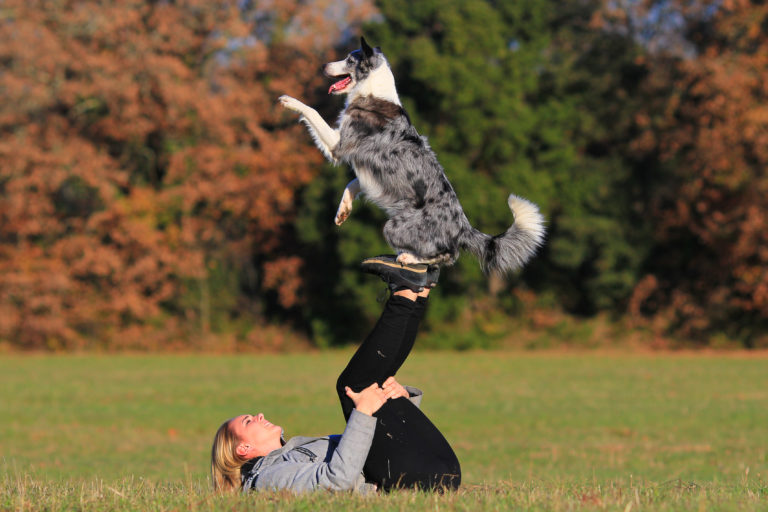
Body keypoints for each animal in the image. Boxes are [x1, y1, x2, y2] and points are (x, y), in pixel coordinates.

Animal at [280, 37, 544, 274]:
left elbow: (312, 111)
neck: (373, 92)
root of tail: (463, 227)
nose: (324, 66)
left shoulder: (339, 144)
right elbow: (353, 182)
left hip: (393, 227)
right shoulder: (364, 169)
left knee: (448, 256)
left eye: (349, 59)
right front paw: (343, 210)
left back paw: (409, 257)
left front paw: (290, 101)